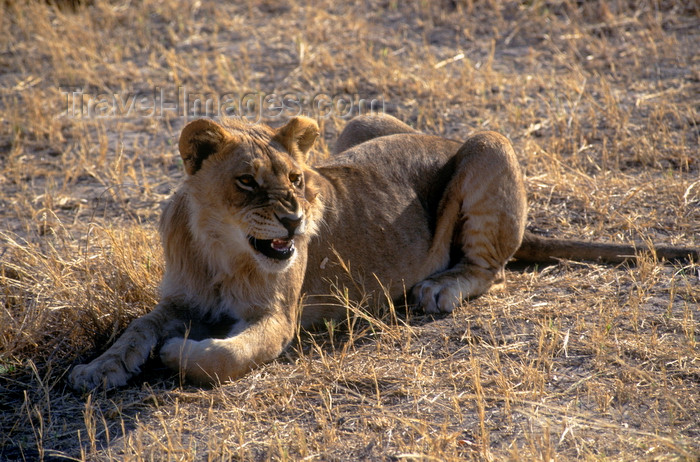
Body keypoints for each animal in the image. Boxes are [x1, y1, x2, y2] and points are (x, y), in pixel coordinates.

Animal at [68, 113, 696, 388]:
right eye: (246, 182)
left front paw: (177, 353)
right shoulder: (176, 300)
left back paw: (437, 289)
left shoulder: (278, 318)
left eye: (296, 179)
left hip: (489, 144)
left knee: (490, 267)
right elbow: (135, 330)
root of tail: (443, 134)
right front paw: (97, 370)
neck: (219, 250)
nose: (295, 219)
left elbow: (222, 356)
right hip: (359, 122)